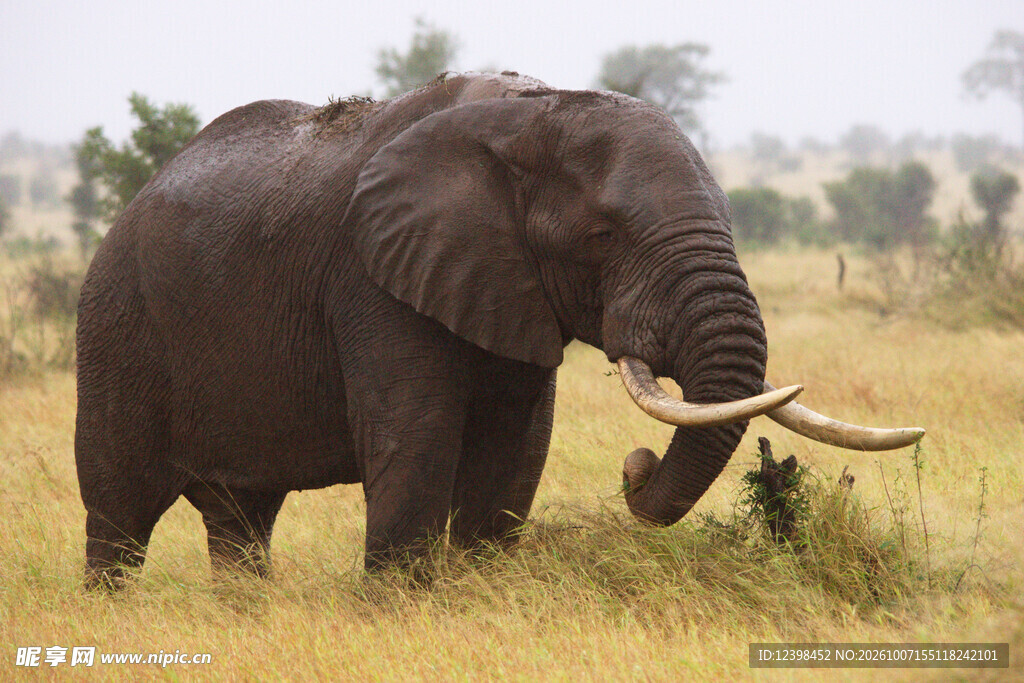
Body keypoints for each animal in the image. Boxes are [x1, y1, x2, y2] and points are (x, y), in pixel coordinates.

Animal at [75, 71, 923, 588]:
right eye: (604, 235)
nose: (636, 465)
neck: (534, 111)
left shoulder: (505, 286)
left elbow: (517, 447)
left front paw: (477, 583)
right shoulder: (373, 278)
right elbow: (416, 439)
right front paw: (398, 609)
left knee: (240, 517)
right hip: (118, 327)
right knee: (117, 510)